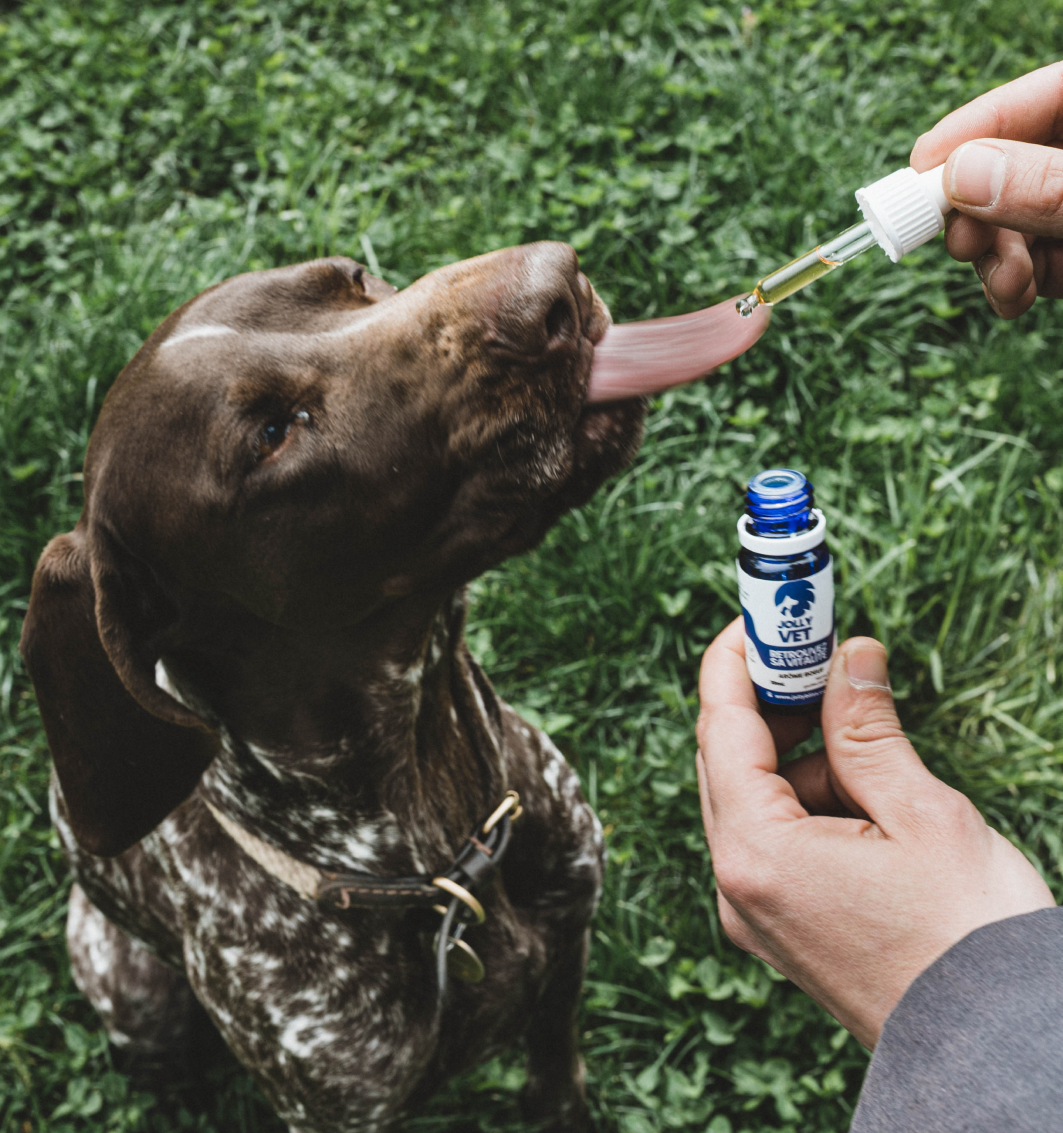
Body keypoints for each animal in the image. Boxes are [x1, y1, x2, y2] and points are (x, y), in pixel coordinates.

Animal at [20, 243, 643, 1128]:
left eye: (350, 276)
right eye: (272, 433)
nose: (554, 284)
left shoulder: (568, 956)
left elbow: (558, 1080)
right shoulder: (335, 1108)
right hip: (132, 991)